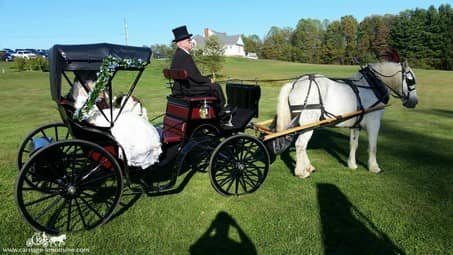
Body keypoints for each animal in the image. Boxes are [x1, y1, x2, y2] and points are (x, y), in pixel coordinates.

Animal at [274, 51, 418, 179]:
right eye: (410, 81)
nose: (414, 102)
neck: (372, 86)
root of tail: (294, 84)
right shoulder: (374, 123)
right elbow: (373, 146)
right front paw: (374, 167)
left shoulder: (356, 125)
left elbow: (354, 144)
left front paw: (352, 165)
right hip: (309, 122)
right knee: (300, 145)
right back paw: (301, 172)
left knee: (302, 145)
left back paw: (309, 167)